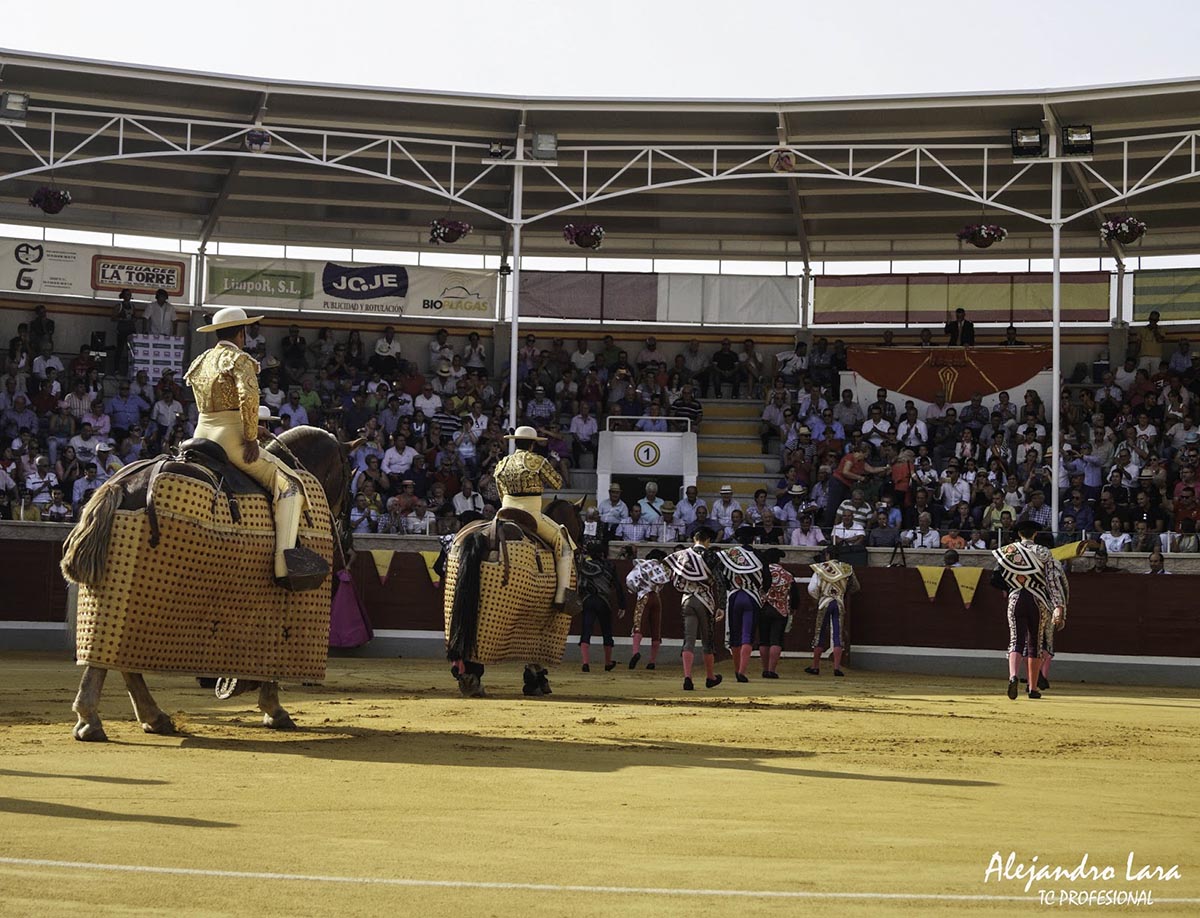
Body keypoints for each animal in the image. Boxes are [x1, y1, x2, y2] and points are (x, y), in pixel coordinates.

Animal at [62, 427, 355, 739]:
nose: (346, 543)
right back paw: (101, 720)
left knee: (114, 656)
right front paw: (275, 711)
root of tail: (119, 486)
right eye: (349, 477)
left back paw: (139, 718)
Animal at [446, 496, 585, 691]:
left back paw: (465, 675)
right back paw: (471, 679)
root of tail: (484, 533)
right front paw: (536, 679)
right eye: (583, 524)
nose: (582, 548)